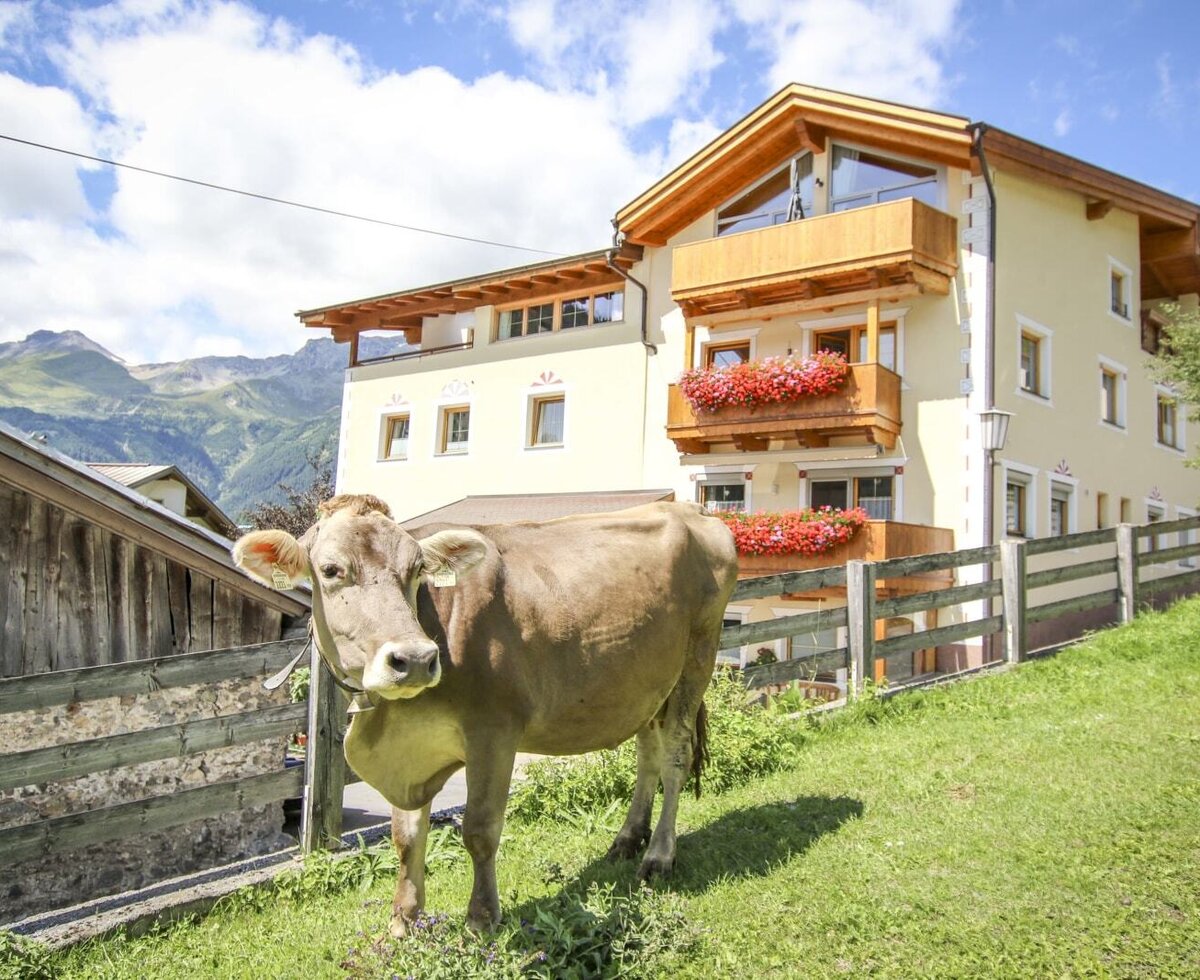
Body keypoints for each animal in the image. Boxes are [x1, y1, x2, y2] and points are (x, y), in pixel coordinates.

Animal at [233, 494, 738, 936]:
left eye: (416, 570)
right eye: (331, 570)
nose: (415, 659)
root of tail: (690, 510)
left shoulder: (494, 731)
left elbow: (479, 830)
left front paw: (481, 919)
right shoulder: (410, 749)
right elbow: (406, 836)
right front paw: (404, 920)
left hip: (697, 658)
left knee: (675, 756)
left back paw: (658, 856)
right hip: (649, 682)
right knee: (647, 753)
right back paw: (629, 839)